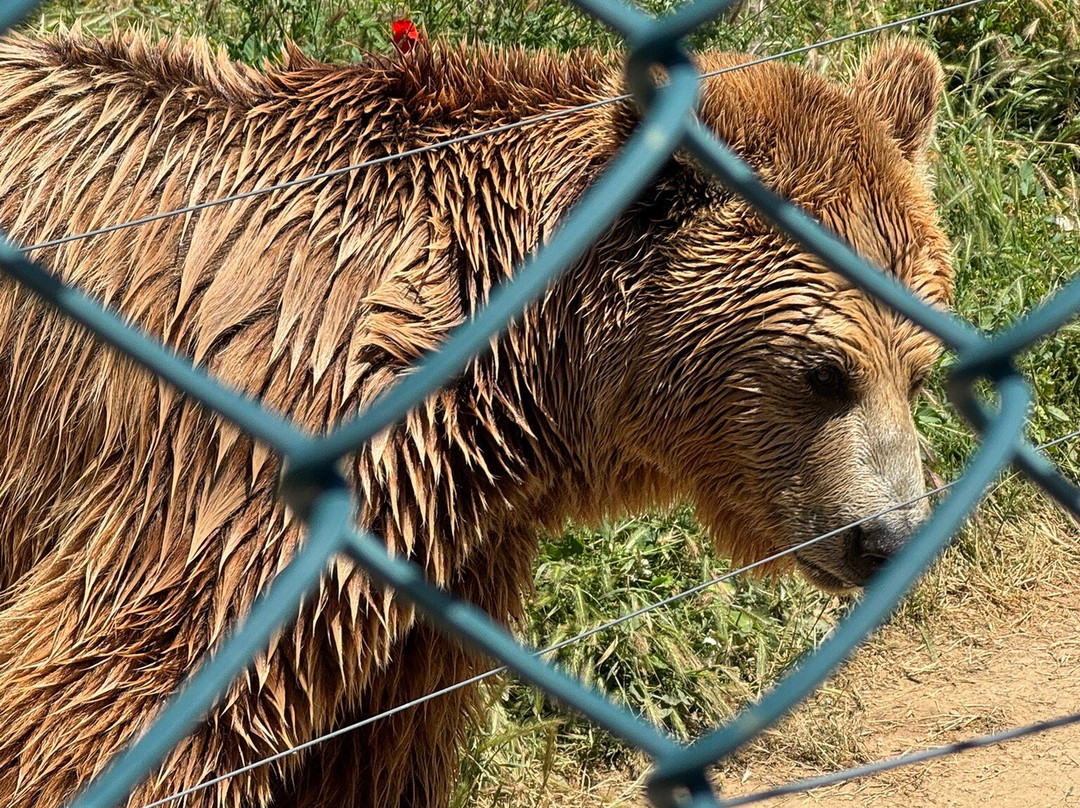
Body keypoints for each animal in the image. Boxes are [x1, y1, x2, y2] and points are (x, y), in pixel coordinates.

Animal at [0, 29, 951, 808]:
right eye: (825, 373)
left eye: (920, 372)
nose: (889, 537)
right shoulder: (262, 446)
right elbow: (109, 695)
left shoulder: (446, 541)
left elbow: (382, 741)